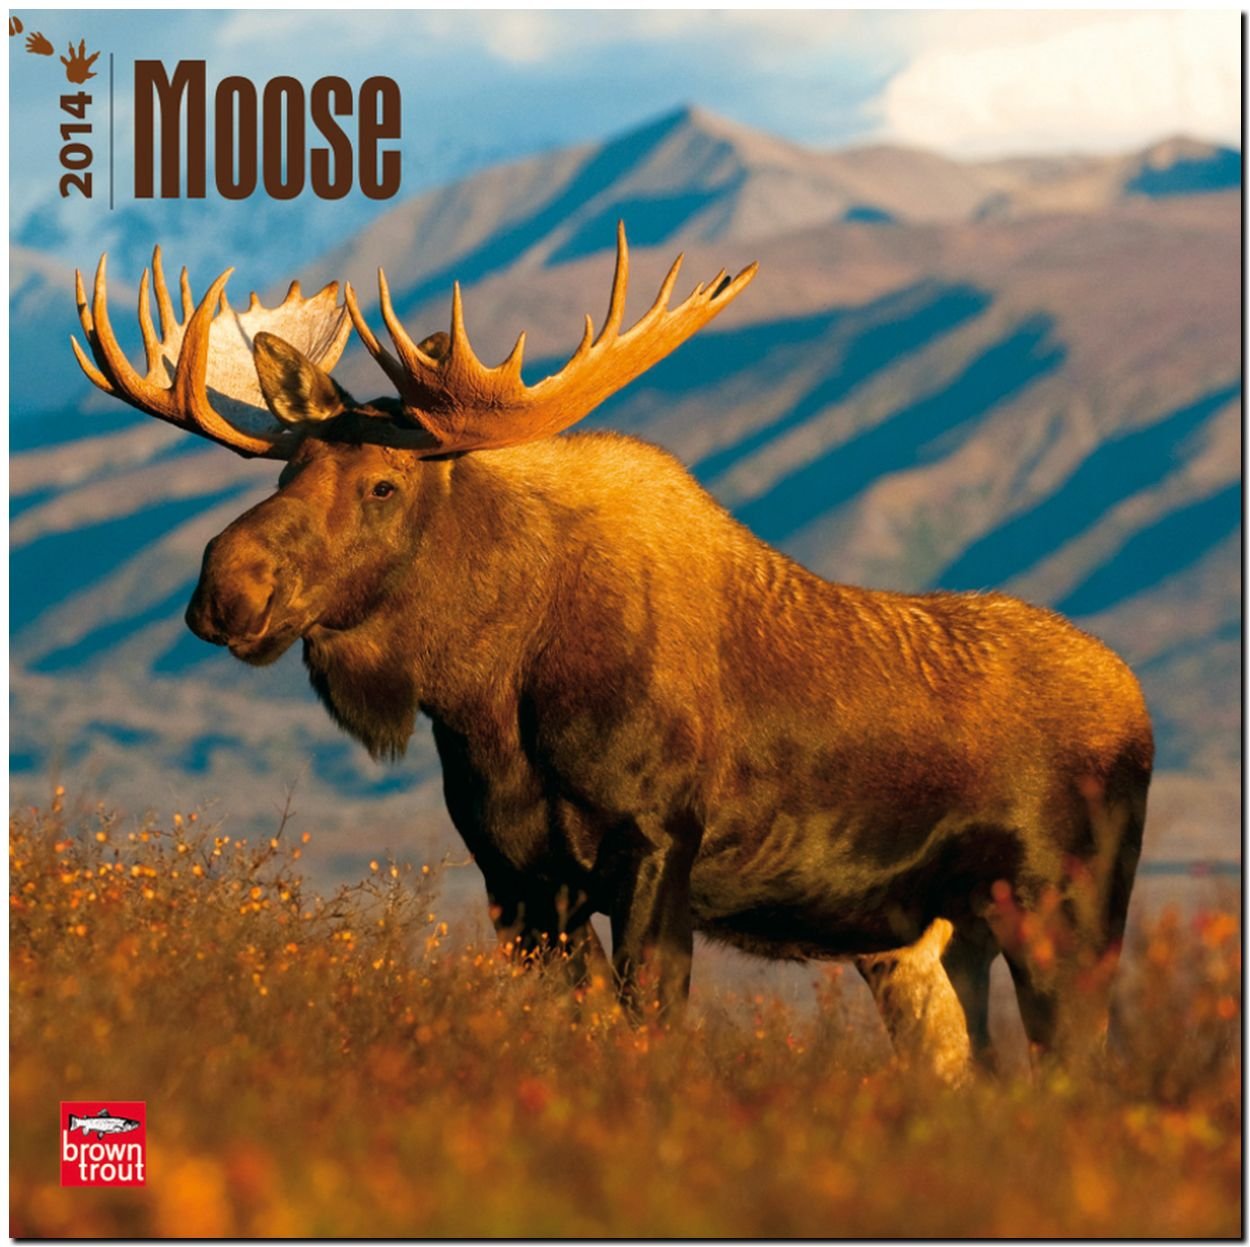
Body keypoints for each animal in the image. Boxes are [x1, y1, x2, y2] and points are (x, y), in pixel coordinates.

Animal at [71, 225, 1153, 1080]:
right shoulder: (515, 877)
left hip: (1069, 914)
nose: (224, 589)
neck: (487, 694)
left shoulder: (655, 840)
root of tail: (1139, 715)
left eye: (383, 482)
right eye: (289, 466)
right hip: (921, 942)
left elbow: (650, 1018)